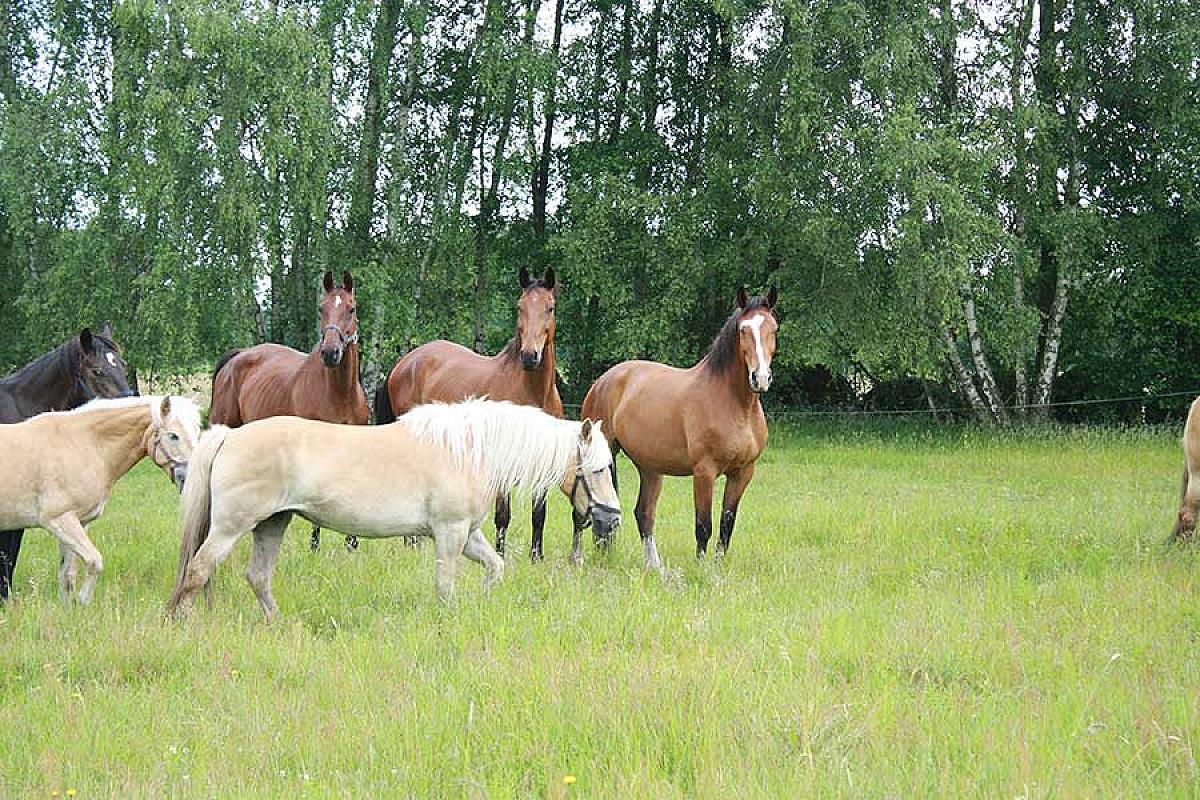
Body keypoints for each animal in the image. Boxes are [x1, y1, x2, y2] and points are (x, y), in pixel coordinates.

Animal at [0, 395, 201, 604]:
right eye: (173, 435)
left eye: (197, 432)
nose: (191, 479)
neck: (83, 444)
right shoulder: (58, 520)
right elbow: (94, 561)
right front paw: (83, 601)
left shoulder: (79, 522)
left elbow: (67, 576)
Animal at [167, 399, 620, 619]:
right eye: (599, 469)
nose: (612, 519)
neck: (469, 450)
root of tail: (229, 435)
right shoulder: (450, 533)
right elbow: (444, 586)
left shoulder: (469, 534)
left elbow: (495, 567)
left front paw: (483, 598)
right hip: (231, 527)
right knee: (197, 570)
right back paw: (180, 622)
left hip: (272, 524)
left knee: (257, 577)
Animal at [209, 270, 369, 551]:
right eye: (321, 308)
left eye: (351, 308)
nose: (330, 353)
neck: (340, 395)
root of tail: (237, 357)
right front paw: (315, 545)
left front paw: (352, 543)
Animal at [375, 267, 565, 560]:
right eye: (519, 307)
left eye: (550, 307)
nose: (529, 356)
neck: (534, 395)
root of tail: (405, 362)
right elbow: (502, 515)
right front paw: (499, 554)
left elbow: (539, 514)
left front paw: (536, 557)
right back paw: (412, 545)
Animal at [582, 285, 778, 569]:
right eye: (743, 330)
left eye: (773, 328)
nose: (760, 378)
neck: (735, 404)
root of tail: (603, 381)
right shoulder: (704, 471)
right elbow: (703, 526)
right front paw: (702, 569)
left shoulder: (743, 472)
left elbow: (726, 525)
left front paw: (718, 568)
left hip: (650, 468)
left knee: (644, 513)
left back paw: (654, 566)